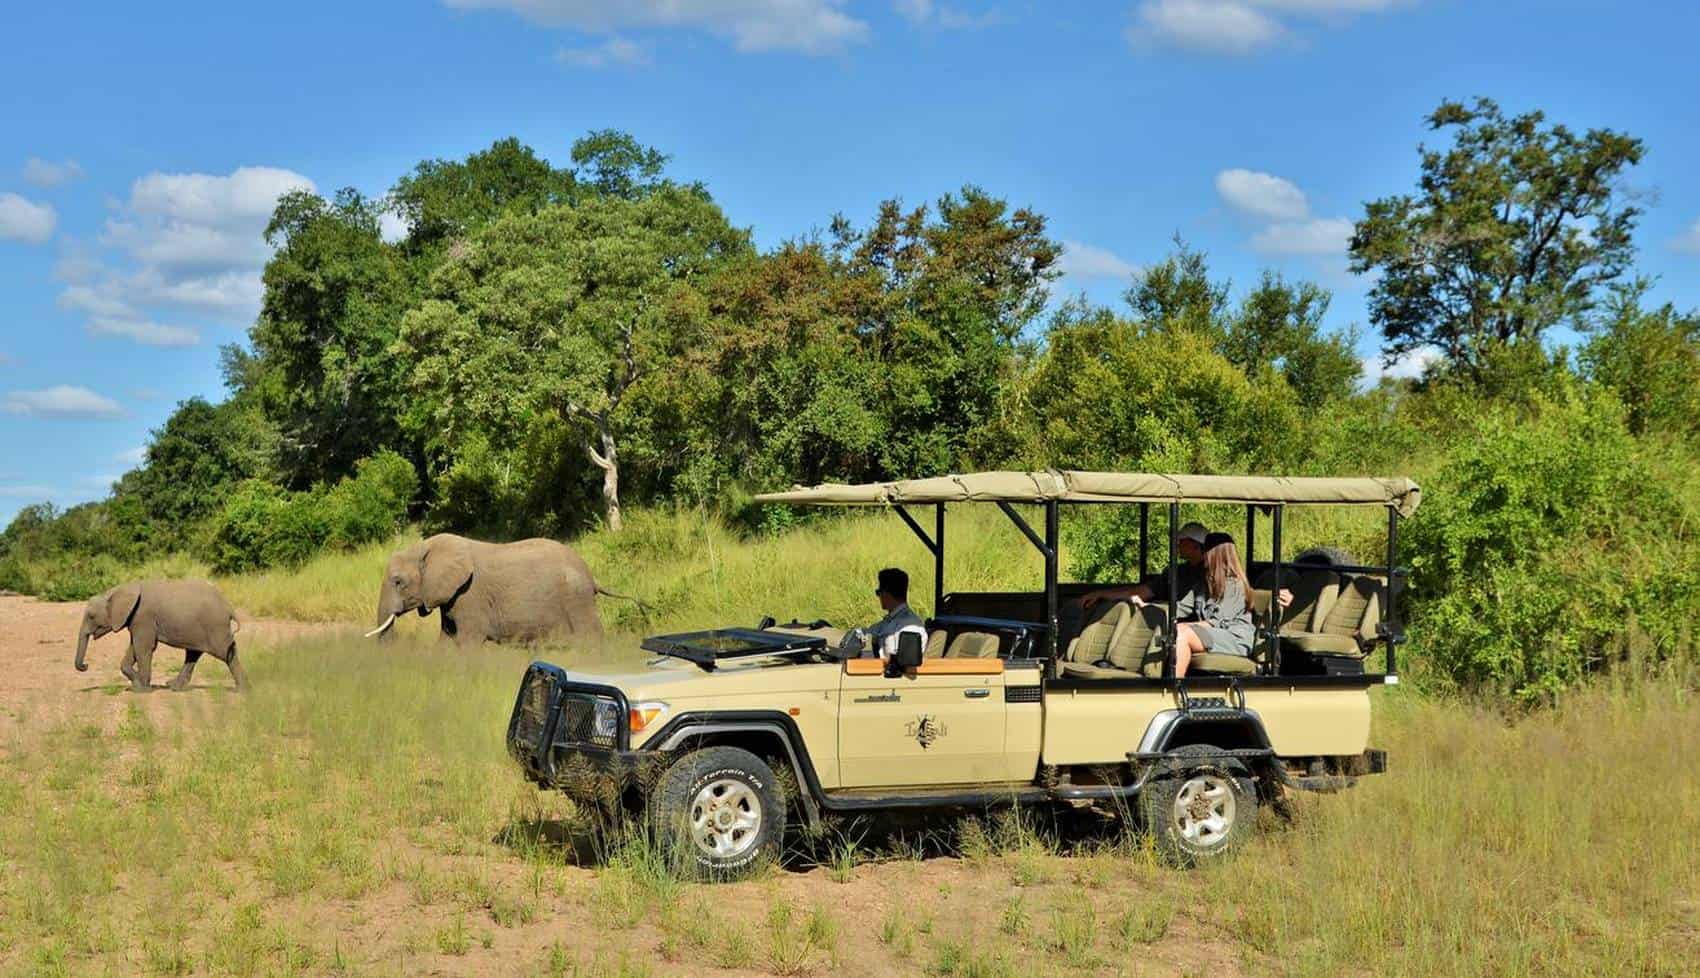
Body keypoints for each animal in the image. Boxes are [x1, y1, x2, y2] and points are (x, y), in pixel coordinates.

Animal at [75, 579, 247, 692]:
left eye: (91, 616)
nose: (85, 666)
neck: (114, 591)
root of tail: (229, 607)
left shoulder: (143, 617)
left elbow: (143, 647)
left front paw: (143, 689)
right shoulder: (136, 619)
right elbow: (135, 647)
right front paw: (136, 686)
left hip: (215, 626)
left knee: (226, 653)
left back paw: (243, 690)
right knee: (193, 653)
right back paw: (174, 687)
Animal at [367, 533, 637, 647]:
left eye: (398, 582)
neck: (425, 546)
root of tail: (592, 577)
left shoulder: (469, 594)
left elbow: (467, 640)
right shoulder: (451, 597)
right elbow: (447, 637)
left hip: (576, 599)